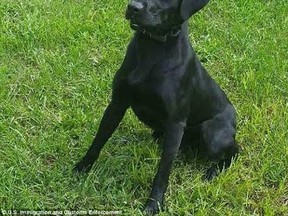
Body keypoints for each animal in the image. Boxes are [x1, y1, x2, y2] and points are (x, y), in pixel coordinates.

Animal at [73, 0, 238, 213]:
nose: (133, 7)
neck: (152, 47)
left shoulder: (176, 123)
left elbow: (163, 171)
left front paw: (154, 204)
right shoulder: (117, 103)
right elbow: (98, 141)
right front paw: (82, 167)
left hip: (212, 135)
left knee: (234, 150)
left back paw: (213, 171)